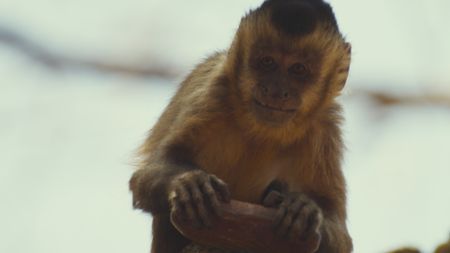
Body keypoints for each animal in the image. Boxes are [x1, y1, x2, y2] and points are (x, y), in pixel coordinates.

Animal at [129, 0, 352, 252]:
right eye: (267, 62)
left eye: (298, 69)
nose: (276, 91)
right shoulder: (215, 92)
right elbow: (144, 177)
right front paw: (189, 184)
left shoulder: (325, 127)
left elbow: (341, 238)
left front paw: (304, 210)